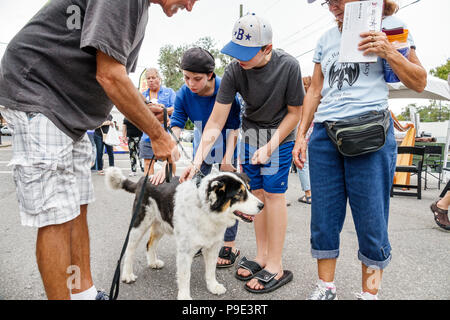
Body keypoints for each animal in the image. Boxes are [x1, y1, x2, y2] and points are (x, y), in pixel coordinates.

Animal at [105, 168, 264, 300]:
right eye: (239, 194)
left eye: (249, 190)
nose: (262, 206)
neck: (206, 210)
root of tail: (144, 179)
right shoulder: (185, 252)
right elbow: (185, 275)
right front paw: (184, 296)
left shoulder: (213, 247)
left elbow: (211, 270)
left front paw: (213, 286)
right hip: (139, 223)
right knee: (130, 249)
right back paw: (127, 274)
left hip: (160, 224)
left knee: (150, 243)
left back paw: (153, 262)